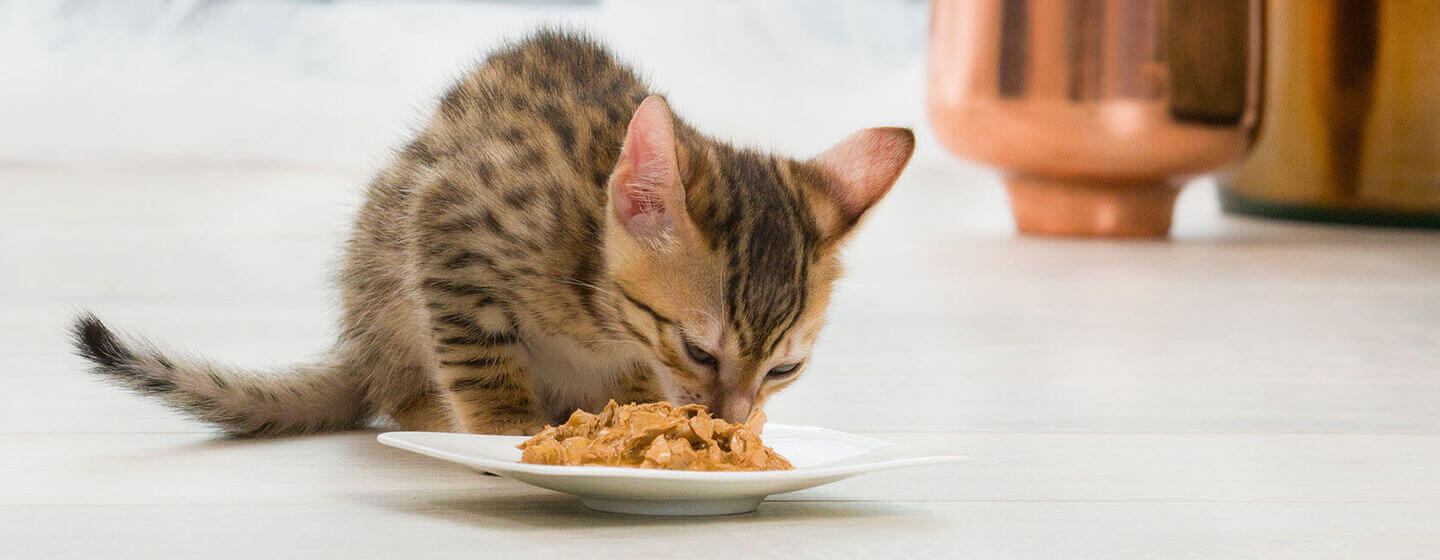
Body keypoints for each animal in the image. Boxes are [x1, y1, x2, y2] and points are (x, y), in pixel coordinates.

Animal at [70, 29, 910, 437]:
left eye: (784, 370)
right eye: (700, 350)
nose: (730, 419)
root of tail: (357, 349)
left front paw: (638, 412)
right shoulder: (448, 223)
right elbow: (477, 346)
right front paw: (504, 423)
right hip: (386, 268)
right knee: (403, 385)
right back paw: (431, 411)